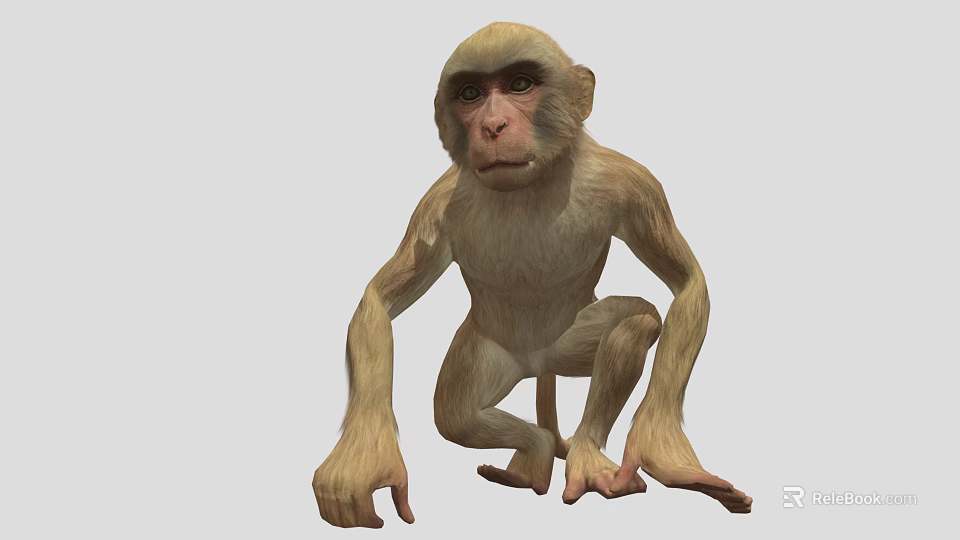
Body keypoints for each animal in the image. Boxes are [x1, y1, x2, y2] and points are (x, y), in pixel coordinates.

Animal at [312, 22, 752, 528]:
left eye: (520, 84)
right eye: (470, 93)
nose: (492, 126)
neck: (531, 183)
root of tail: (535, 364)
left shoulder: (635, 183)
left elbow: (685, 283)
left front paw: (664, 453)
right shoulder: (434, 206)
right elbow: (378, 301)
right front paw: (361, 460)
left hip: (566, 349)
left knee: (637, 320)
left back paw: (583, 453)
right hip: (489, 353)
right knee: (458, 413)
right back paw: (533, 455)